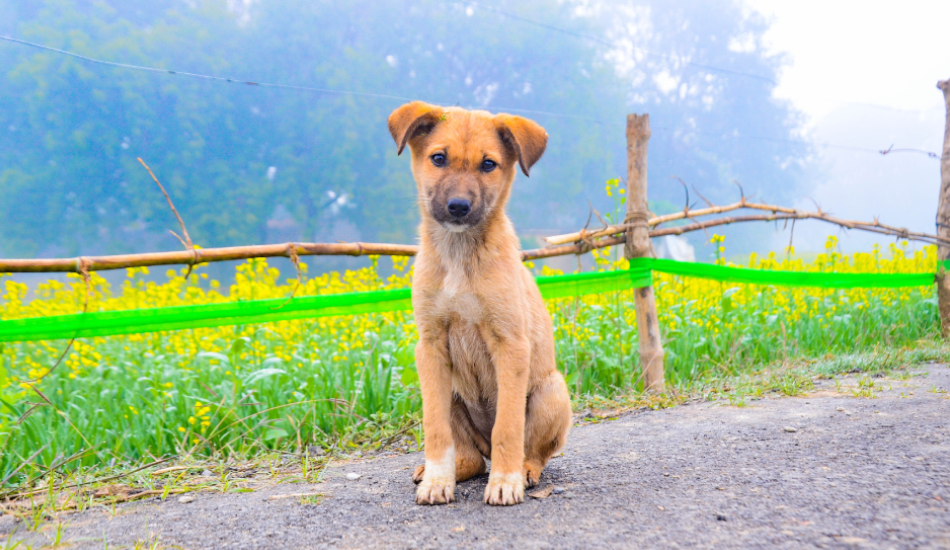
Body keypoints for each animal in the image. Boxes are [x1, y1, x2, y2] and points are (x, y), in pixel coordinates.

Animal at [386, 101, 572, 506]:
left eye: (489, 164)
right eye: (438, 158)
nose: (458, 206)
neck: (460, 255)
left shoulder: (510, 344)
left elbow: (508, 427)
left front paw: (505, 482)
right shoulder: (430, 345)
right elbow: (435, 429)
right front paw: (437, 481)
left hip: (551, 391)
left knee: (532, 450)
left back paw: (524, 471)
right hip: (454, 395)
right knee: (470, 458)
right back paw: (445, 472)